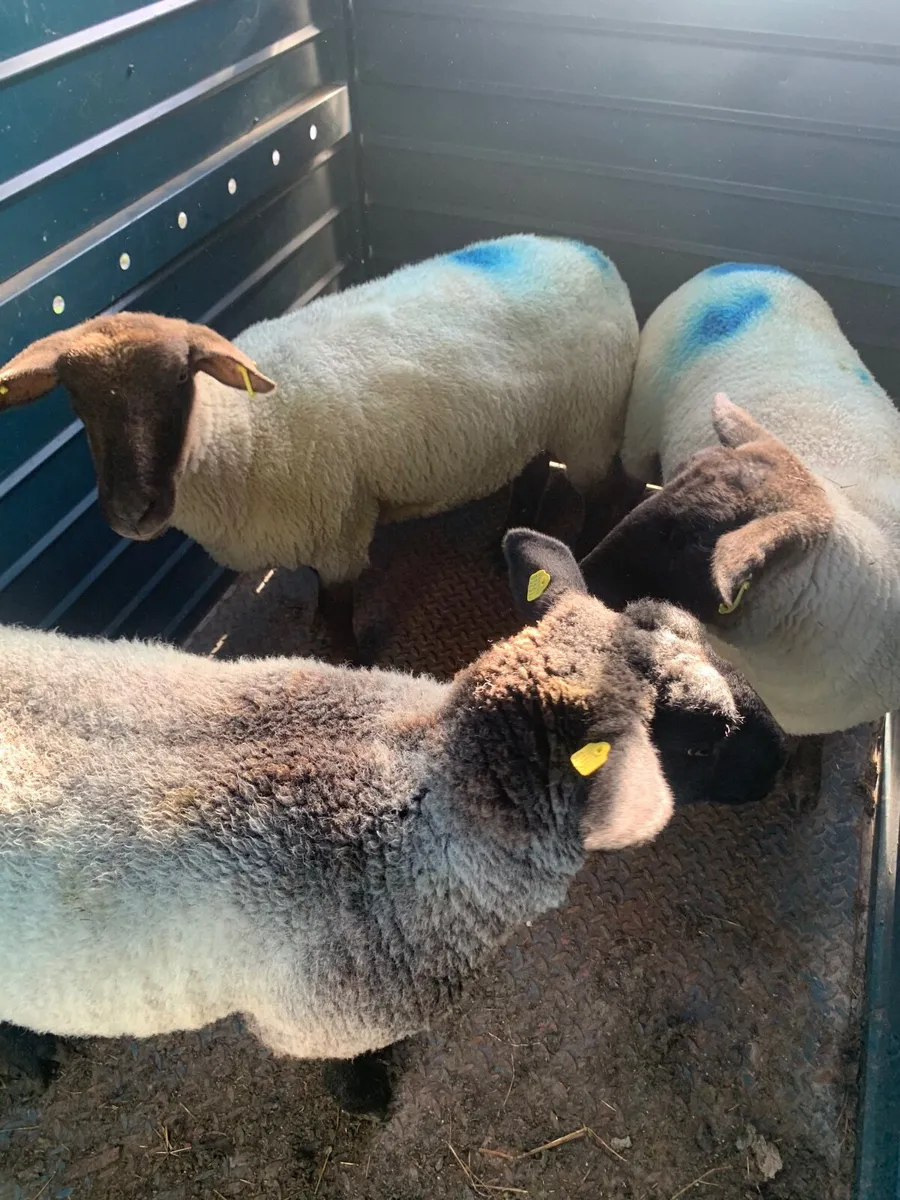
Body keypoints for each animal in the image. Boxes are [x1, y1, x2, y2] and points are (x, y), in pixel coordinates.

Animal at [0, 235, 639, 658]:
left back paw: (584, 550)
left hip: (590, 417)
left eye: (181, 378)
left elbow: (336, 606)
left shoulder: (339, 529)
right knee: (533, 469)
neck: (243, 428)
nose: (133, 513)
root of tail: (587, 250)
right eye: (76, 400)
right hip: (537, 417)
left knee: (604, 493)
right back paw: (504, 538)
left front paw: (345, 657)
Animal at [1, 532, 769, 1113]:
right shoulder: (322, 1020)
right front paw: (367, 1095)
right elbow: (351, 1062)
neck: (421, 792)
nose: (777, 768)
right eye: (703, 738)